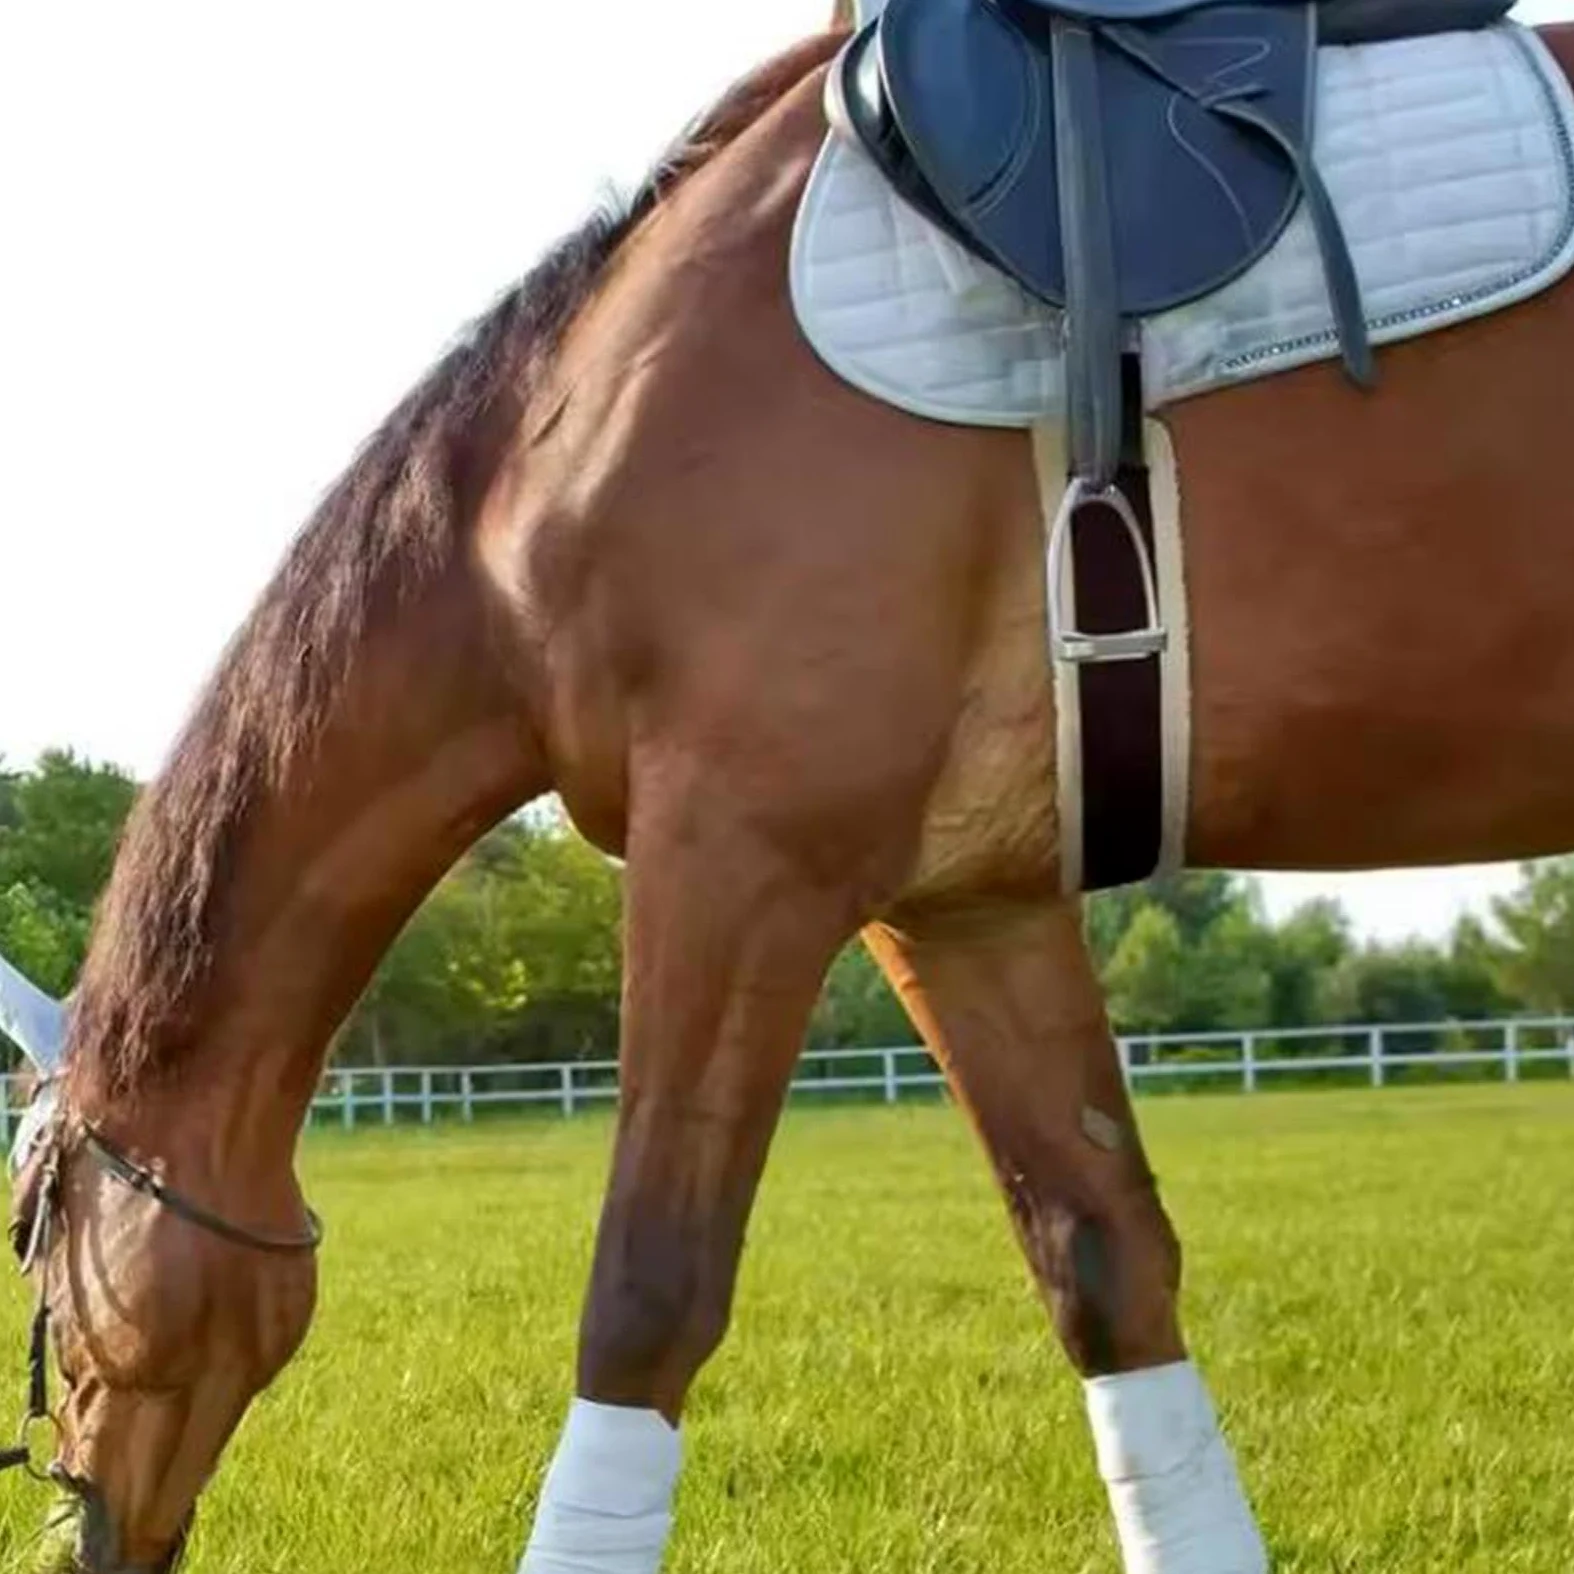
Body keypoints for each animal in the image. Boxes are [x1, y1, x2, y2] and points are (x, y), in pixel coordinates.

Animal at [7, 9, 1574, 1570]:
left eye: (31, 1230)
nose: (82, 1522)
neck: (559, 453)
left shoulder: (737, 857)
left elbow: (643, 1299)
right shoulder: (965, 905)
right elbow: (1103, 1262)